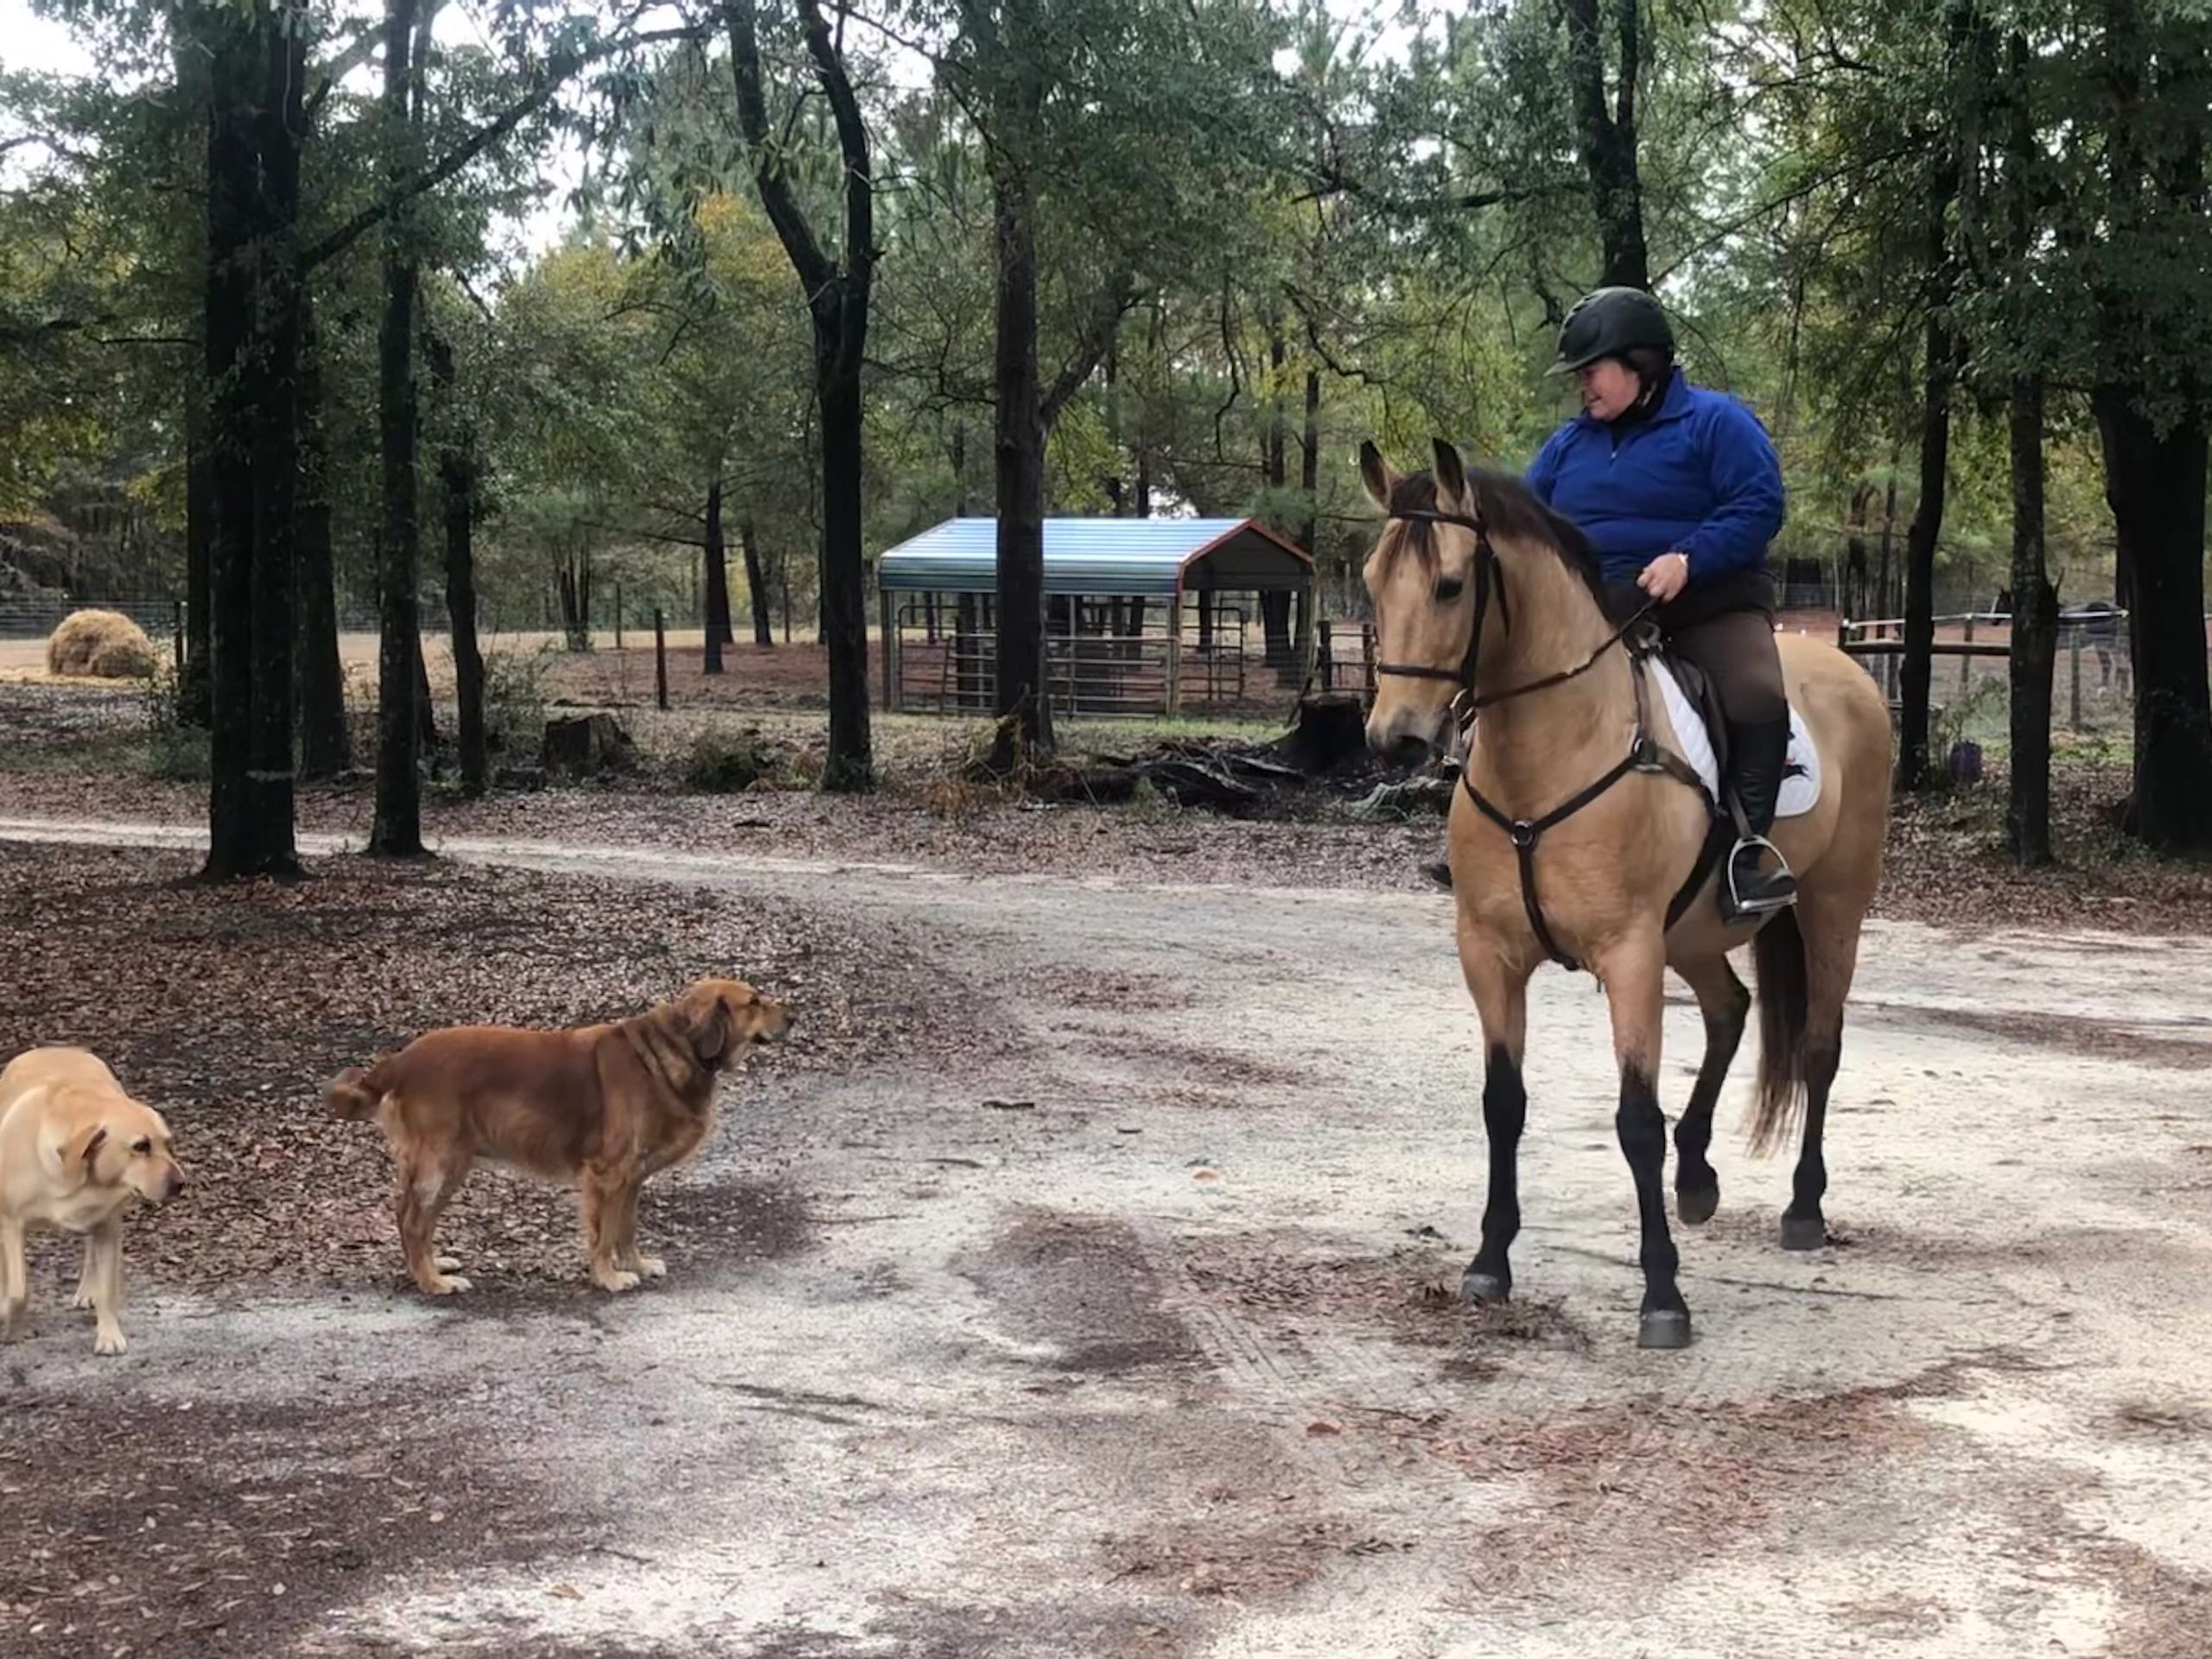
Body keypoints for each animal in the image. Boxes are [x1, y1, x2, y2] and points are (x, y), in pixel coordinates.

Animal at [1359, 439, 1893, 1349]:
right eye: (1369, 580)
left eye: (1451, 585)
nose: (1395, 740)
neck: (1552, 754)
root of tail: (1843, 666)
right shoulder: (1490, 956)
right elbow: (1503, 1103)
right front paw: (1490, 1262)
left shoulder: (1630, 955)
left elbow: (1635, 1120)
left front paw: (1663, 1297)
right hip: (1695, 934)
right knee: (1729, 1011)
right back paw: (1699, 1177)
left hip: (1830, 908)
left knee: (1818, 1048)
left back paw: (1803, 1207)